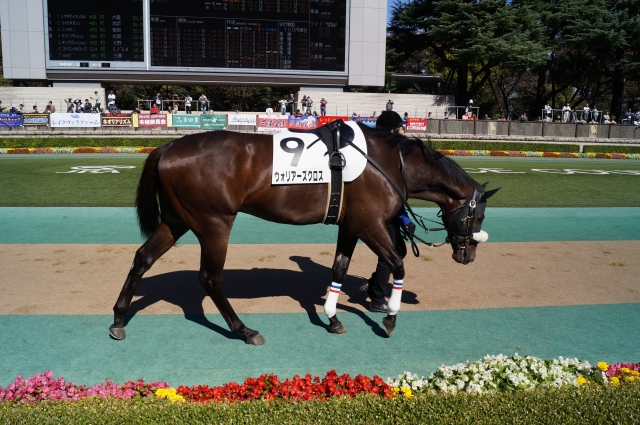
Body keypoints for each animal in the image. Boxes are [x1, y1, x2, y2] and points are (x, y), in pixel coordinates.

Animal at [109, 119, 499, 345]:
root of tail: (167, 147)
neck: (389, 163)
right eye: (478, 217)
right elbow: (398, 264)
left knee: (143, 258)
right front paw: (388, 316)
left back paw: (118, 317)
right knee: (210, 277)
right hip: (214, 222)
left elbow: (339, 269)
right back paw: (244, 330)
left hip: (177, 219)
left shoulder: (351, 225)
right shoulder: (372, 224)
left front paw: (334, 318)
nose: (468, 254)